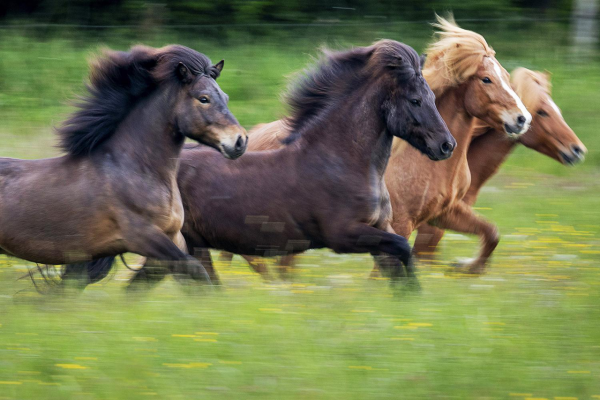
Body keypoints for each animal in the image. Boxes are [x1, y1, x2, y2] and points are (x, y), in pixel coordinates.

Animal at [0, 44, 246, 288]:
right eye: (203, 99)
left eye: (225, 97)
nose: (240, 141)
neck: (134, 170)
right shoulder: (142, 237)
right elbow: (195, 270)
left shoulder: (173, 237)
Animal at [119, 38, 454, 288]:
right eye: (414, 100)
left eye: (432, 96)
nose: (446, 145)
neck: (342, 161)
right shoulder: (345, 235)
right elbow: (404, 250)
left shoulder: (379, 228)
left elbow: (398, 266)